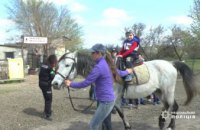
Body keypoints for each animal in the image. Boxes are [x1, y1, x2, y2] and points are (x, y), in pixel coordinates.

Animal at [51, 50, 197, 130]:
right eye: (58, 65)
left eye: (67, 65)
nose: (55, 83)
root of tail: (171, 63)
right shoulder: (108, 100)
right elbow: (114, 116)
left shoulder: (113, 99)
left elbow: (113, 115)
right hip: (159, 91)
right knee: (169, 106)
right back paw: (163, 122)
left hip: (168, 91)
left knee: (173, 106)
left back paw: (168, 124)